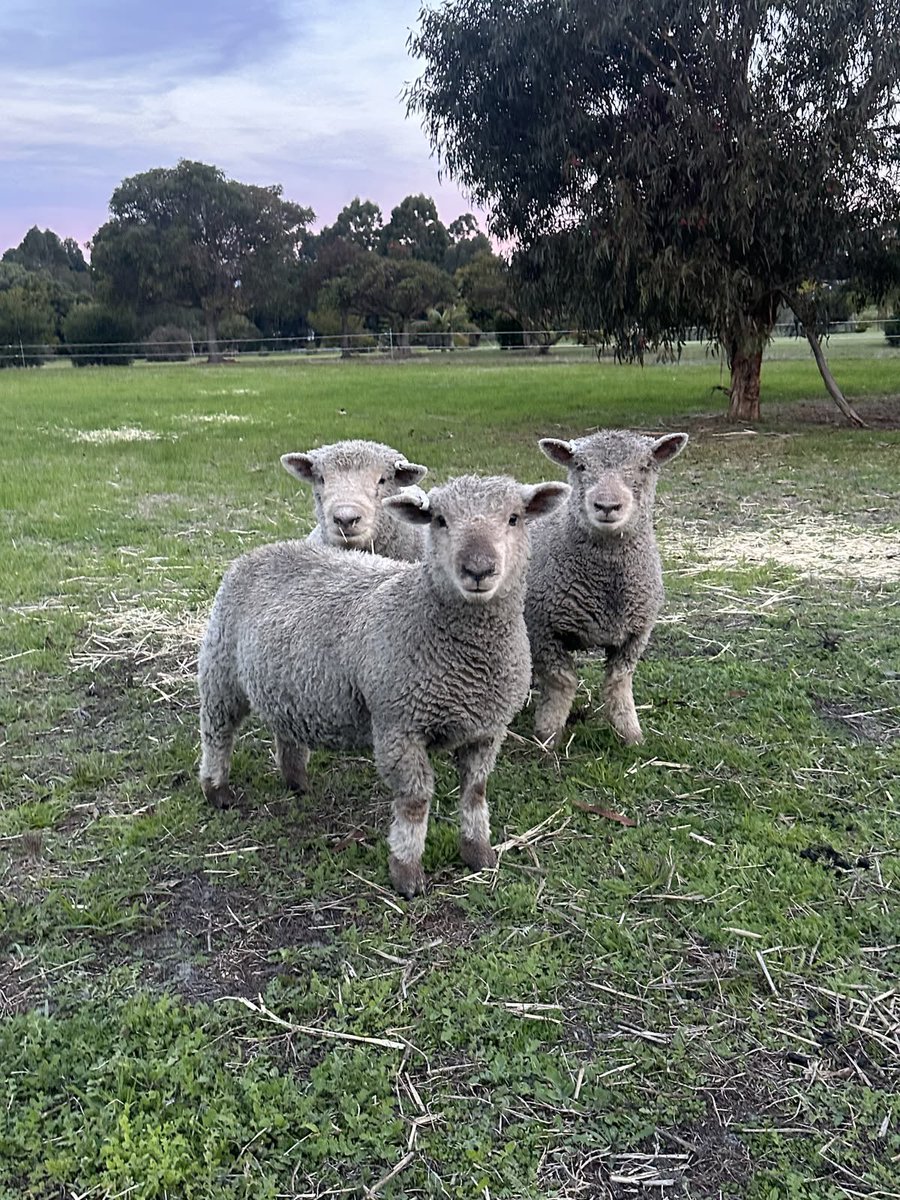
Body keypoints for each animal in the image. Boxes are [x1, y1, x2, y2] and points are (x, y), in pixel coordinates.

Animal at [198, 474, 570, 897]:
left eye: (514, 518)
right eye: (439, 520)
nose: (478, 569)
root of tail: (267, 549)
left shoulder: (487, 730)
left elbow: (475, 791)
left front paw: (479, 853)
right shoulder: (398, 726)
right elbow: (414, 800)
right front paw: (406, 872)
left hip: (288, 683)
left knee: (285, 726)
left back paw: (296, 781)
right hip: (221, 666)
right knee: (217, 730)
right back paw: (216, 790)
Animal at [525, 430, 688, 748]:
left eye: (644, 466)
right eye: (580, 466)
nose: (607, 506)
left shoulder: (636, 634)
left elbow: (619, 682)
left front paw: (631, 734)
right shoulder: (542, 628)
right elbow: (562, 682)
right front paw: (547, 736)